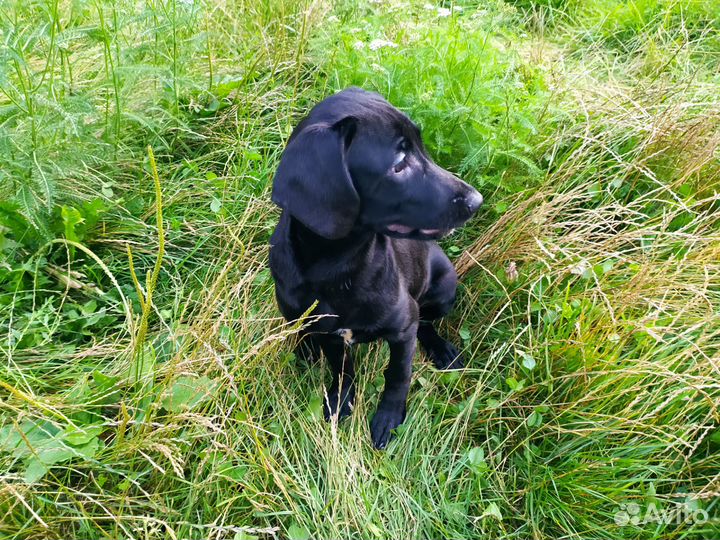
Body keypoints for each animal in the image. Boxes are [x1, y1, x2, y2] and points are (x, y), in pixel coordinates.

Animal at [270, 88, 484, 450]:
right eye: (398, 165)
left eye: (421, 146)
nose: (476, 201)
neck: (337, 269)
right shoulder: (330, 334)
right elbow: (343, 370)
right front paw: (341, 401)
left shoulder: (403, 327)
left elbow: (399, 374)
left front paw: (389, 418)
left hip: (444, 288)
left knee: (427, 323)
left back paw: (441, 349)